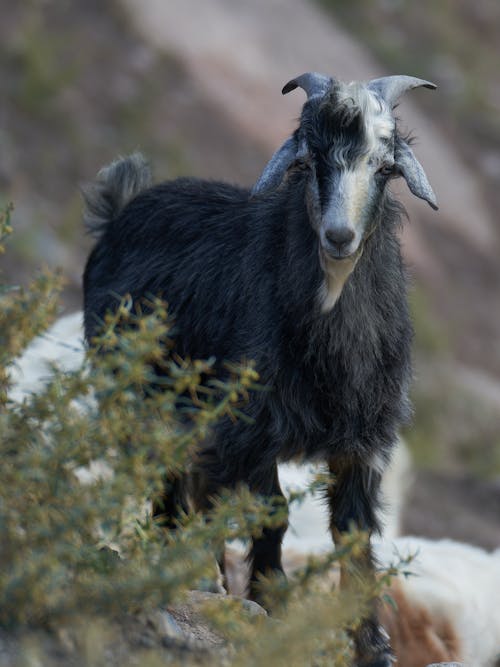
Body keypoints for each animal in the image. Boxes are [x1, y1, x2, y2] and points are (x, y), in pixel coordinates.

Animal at [83, 74, 438, 667]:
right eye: (310, 158)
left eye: (384, 167)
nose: (339, 237)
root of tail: (120, 209)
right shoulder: (250, 429)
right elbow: (273, 517)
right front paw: (272, 606)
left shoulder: (361, 443)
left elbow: (353, 533)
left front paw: (372, 644)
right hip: (150, 402)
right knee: (169, 482)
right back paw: (187, 572)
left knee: (196, 491)